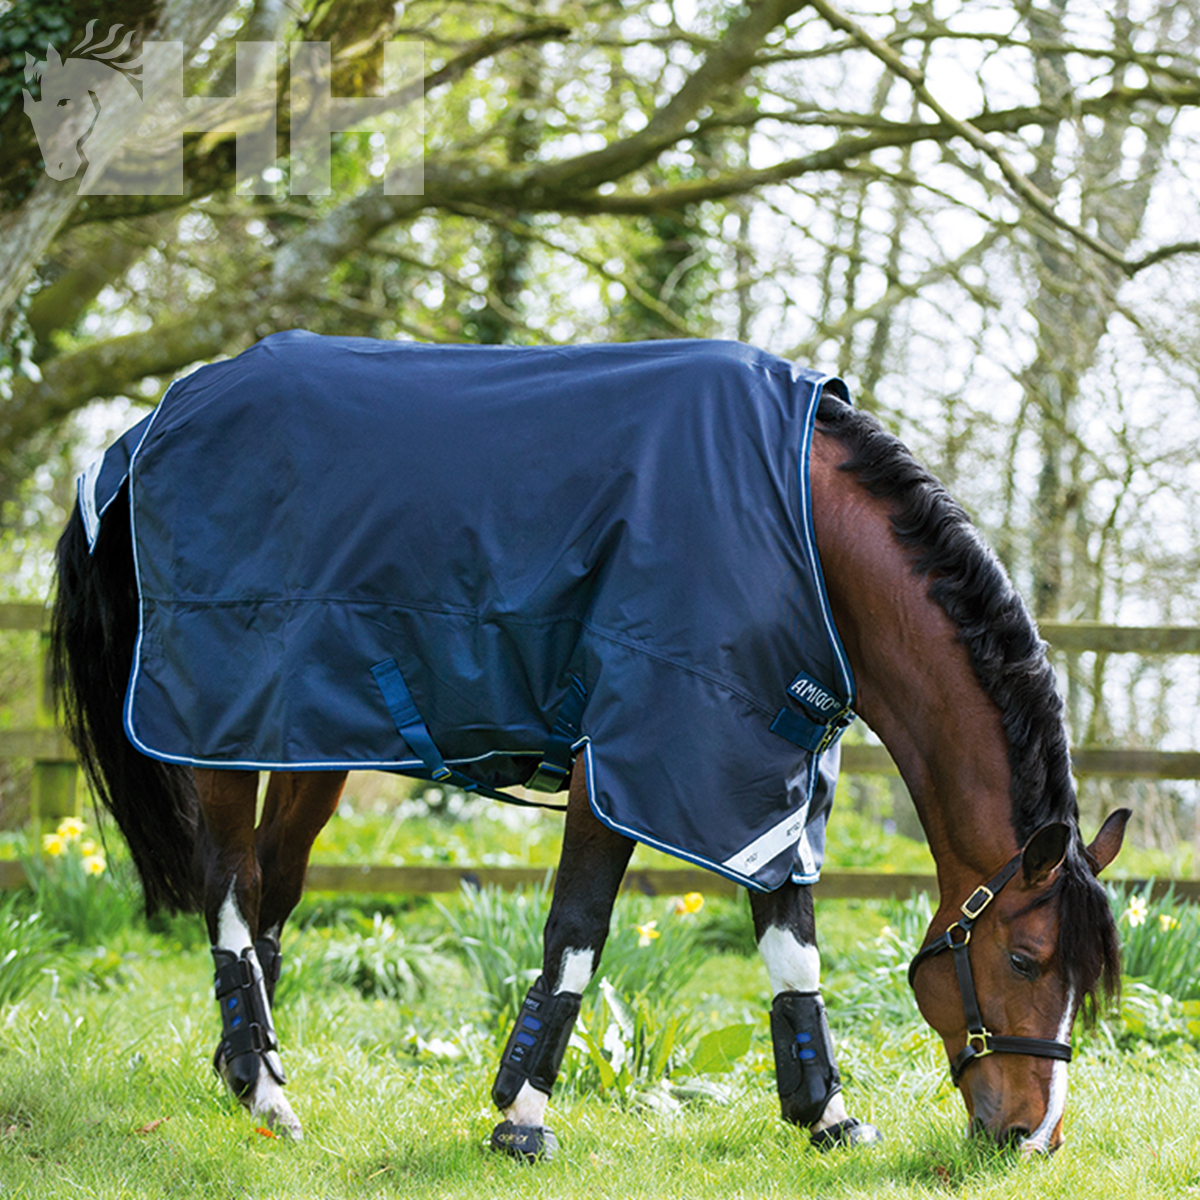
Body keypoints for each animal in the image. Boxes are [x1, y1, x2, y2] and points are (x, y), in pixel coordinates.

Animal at [51, 333, 1127, 1159]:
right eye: (1027, 960)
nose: (1034, 1136)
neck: (800, 531)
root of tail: (145, 430)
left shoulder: (763, 771)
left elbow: (790, 940)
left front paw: (826, 1114)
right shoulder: (628, 756)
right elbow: (578, 930)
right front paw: (521, 1117)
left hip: (310, 730)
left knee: (273, 889)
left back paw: (250, 1073)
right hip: (217, 722)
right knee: (230, 889)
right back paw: (266, 1088)